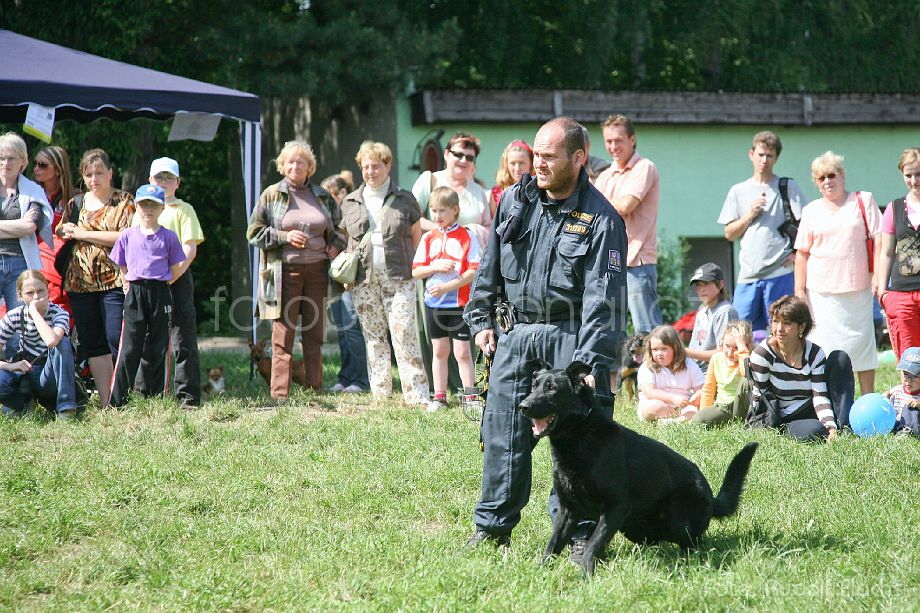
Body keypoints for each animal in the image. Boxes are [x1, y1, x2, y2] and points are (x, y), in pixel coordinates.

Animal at [520, 358, 760, 572]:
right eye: (534, 386)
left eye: (552, 389)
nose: (523, 406)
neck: (580, 436)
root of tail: (712, 497)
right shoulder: (568, 511)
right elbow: (553, 544)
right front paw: (540, 572)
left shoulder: (616, 507)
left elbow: (592, 544)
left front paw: (586, 574)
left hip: (678, 516)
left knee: (693, 543)